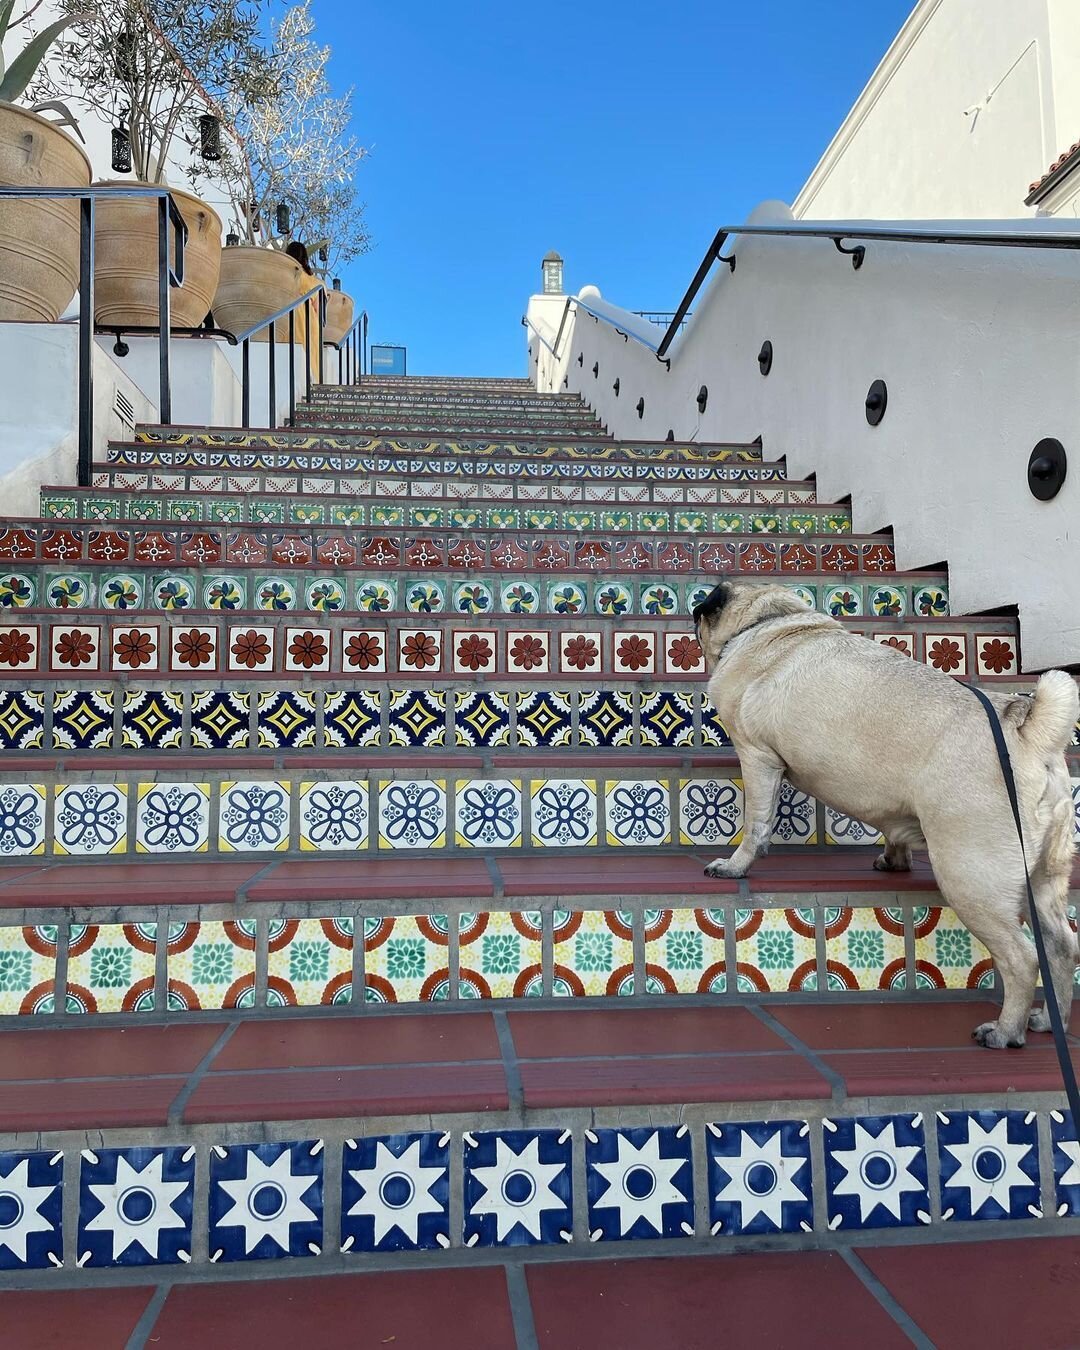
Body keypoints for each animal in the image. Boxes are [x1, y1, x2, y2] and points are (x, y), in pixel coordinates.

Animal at [696, 575, 1074, 1047]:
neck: (769, 620)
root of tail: (1027, 728)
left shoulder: (757, 756)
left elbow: (756, 824)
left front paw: (735, 865)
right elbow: (892, 828)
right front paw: (894, 858)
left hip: (971, 877)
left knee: (1022, 958)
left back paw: (1006, 1031)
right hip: (1044, 878)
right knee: (1061, 948)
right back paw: (1048, 1020)